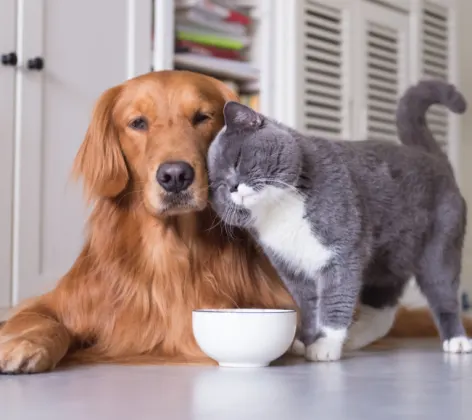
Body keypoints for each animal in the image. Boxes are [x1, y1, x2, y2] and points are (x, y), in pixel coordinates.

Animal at [208, 79, 470, 360]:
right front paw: (306, 340)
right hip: (387, 263)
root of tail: (431, 157)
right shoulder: (291, 268)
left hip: (439, 249)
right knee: (383, 311)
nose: (232, 187)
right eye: (218, 185)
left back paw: (457, 341)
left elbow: (335, 300)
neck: (280, 211)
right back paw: (354, 338)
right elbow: (309, 307)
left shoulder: (342, 254)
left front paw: (325, 346)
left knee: (444, 295)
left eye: (238, 160)